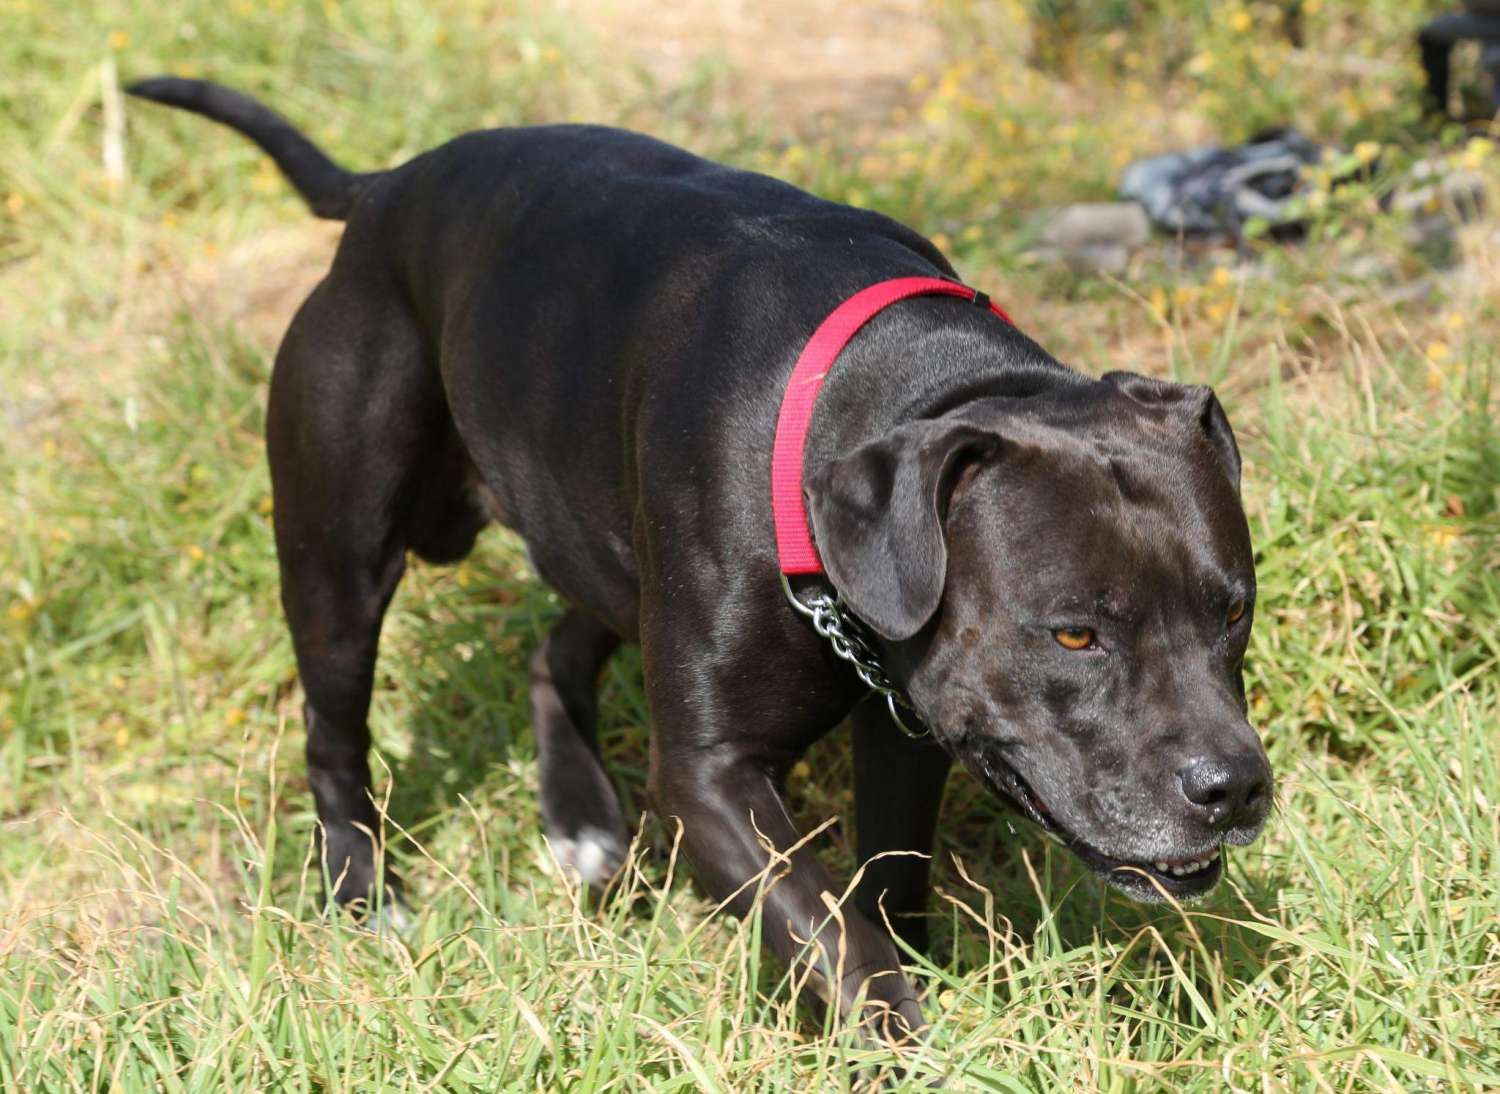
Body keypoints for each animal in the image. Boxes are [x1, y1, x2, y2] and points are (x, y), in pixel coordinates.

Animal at [129, 78, 1273, 1041]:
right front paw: (904, 1041)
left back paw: (583, 823)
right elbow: (828, 934)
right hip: (342, 555)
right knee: (335, 733)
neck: (892, 390)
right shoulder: (711, 777)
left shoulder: (909, 717)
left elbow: (887, 881)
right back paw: (364, 899)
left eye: (1232, 612)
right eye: (1074, 633)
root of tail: (385, 190)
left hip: (594, 531)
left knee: (555, 646)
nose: (1235, 787)